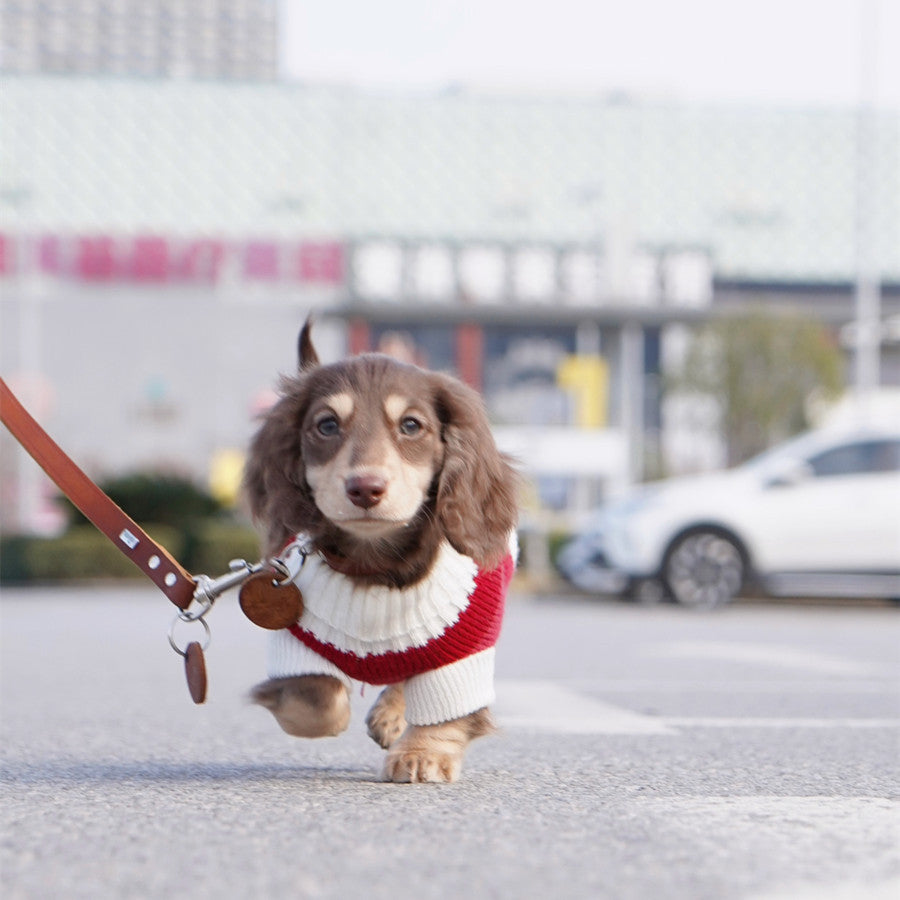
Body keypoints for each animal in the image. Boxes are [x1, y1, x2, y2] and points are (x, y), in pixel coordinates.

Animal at [243, 324, 516, 780]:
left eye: (411, 425)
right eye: (327, 424)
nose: (365, 488)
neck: (375, 564)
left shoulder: (463, 652)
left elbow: (444, 711)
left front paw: (423, 753)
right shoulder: (295, 643)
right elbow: (320, 701)